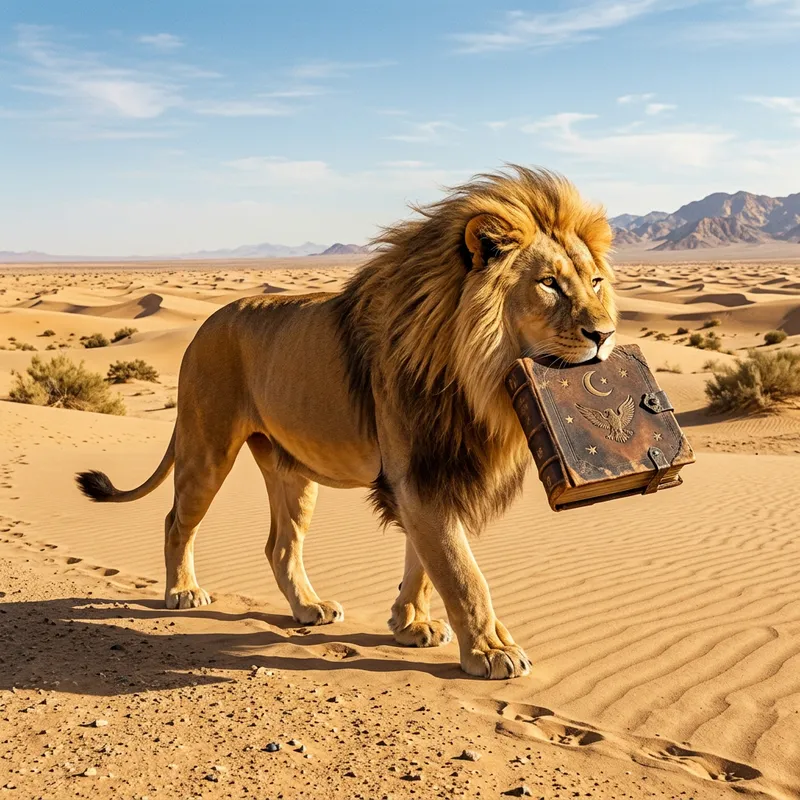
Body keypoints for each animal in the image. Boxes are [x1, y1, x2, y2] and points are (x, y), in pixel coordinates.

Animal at [76, 166, 617, 680]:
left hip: (292, 472)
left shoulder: (434, 475)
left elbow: (424, 562)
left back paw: (308, 607)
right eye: (548, 283)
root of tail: (203, 326)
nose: (605, 334)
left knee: (280, 546)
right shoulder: (420, 475)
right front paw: (492, 650)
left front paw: (410, 624)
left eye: (595, 282)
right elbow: (461, 572)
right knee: (177, 521)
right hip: (206, 449)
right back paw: (183, 592)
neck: (476, 375)